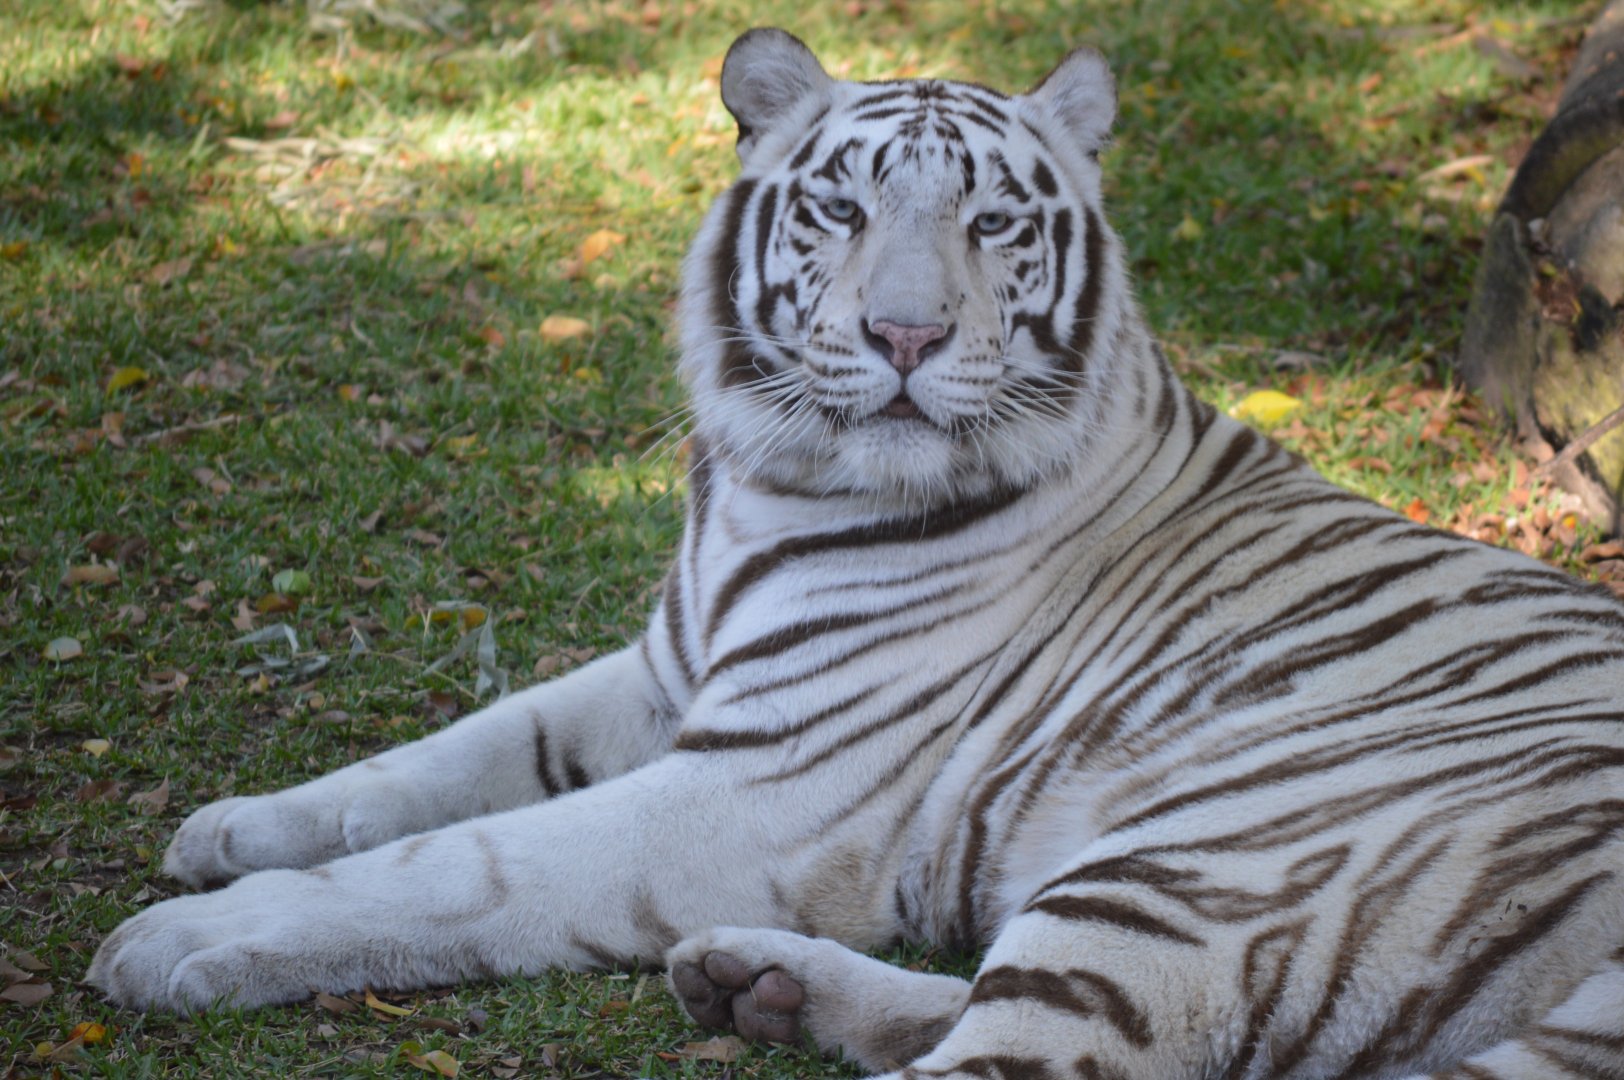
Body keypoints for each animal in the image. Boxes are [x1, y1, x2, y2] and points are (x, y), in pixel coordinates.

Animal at [88, 27, 1624, 1080]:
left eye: (992, 223)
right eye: (840, 208)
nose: (904, 335)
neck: (773, 484)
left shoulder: (755, 785)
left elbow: (458, 862)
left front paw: (180, 941)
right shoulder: (666, 670)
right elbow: (435, 764)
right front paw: (228, 829)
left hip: (1195, 867)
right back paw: (755, 985)